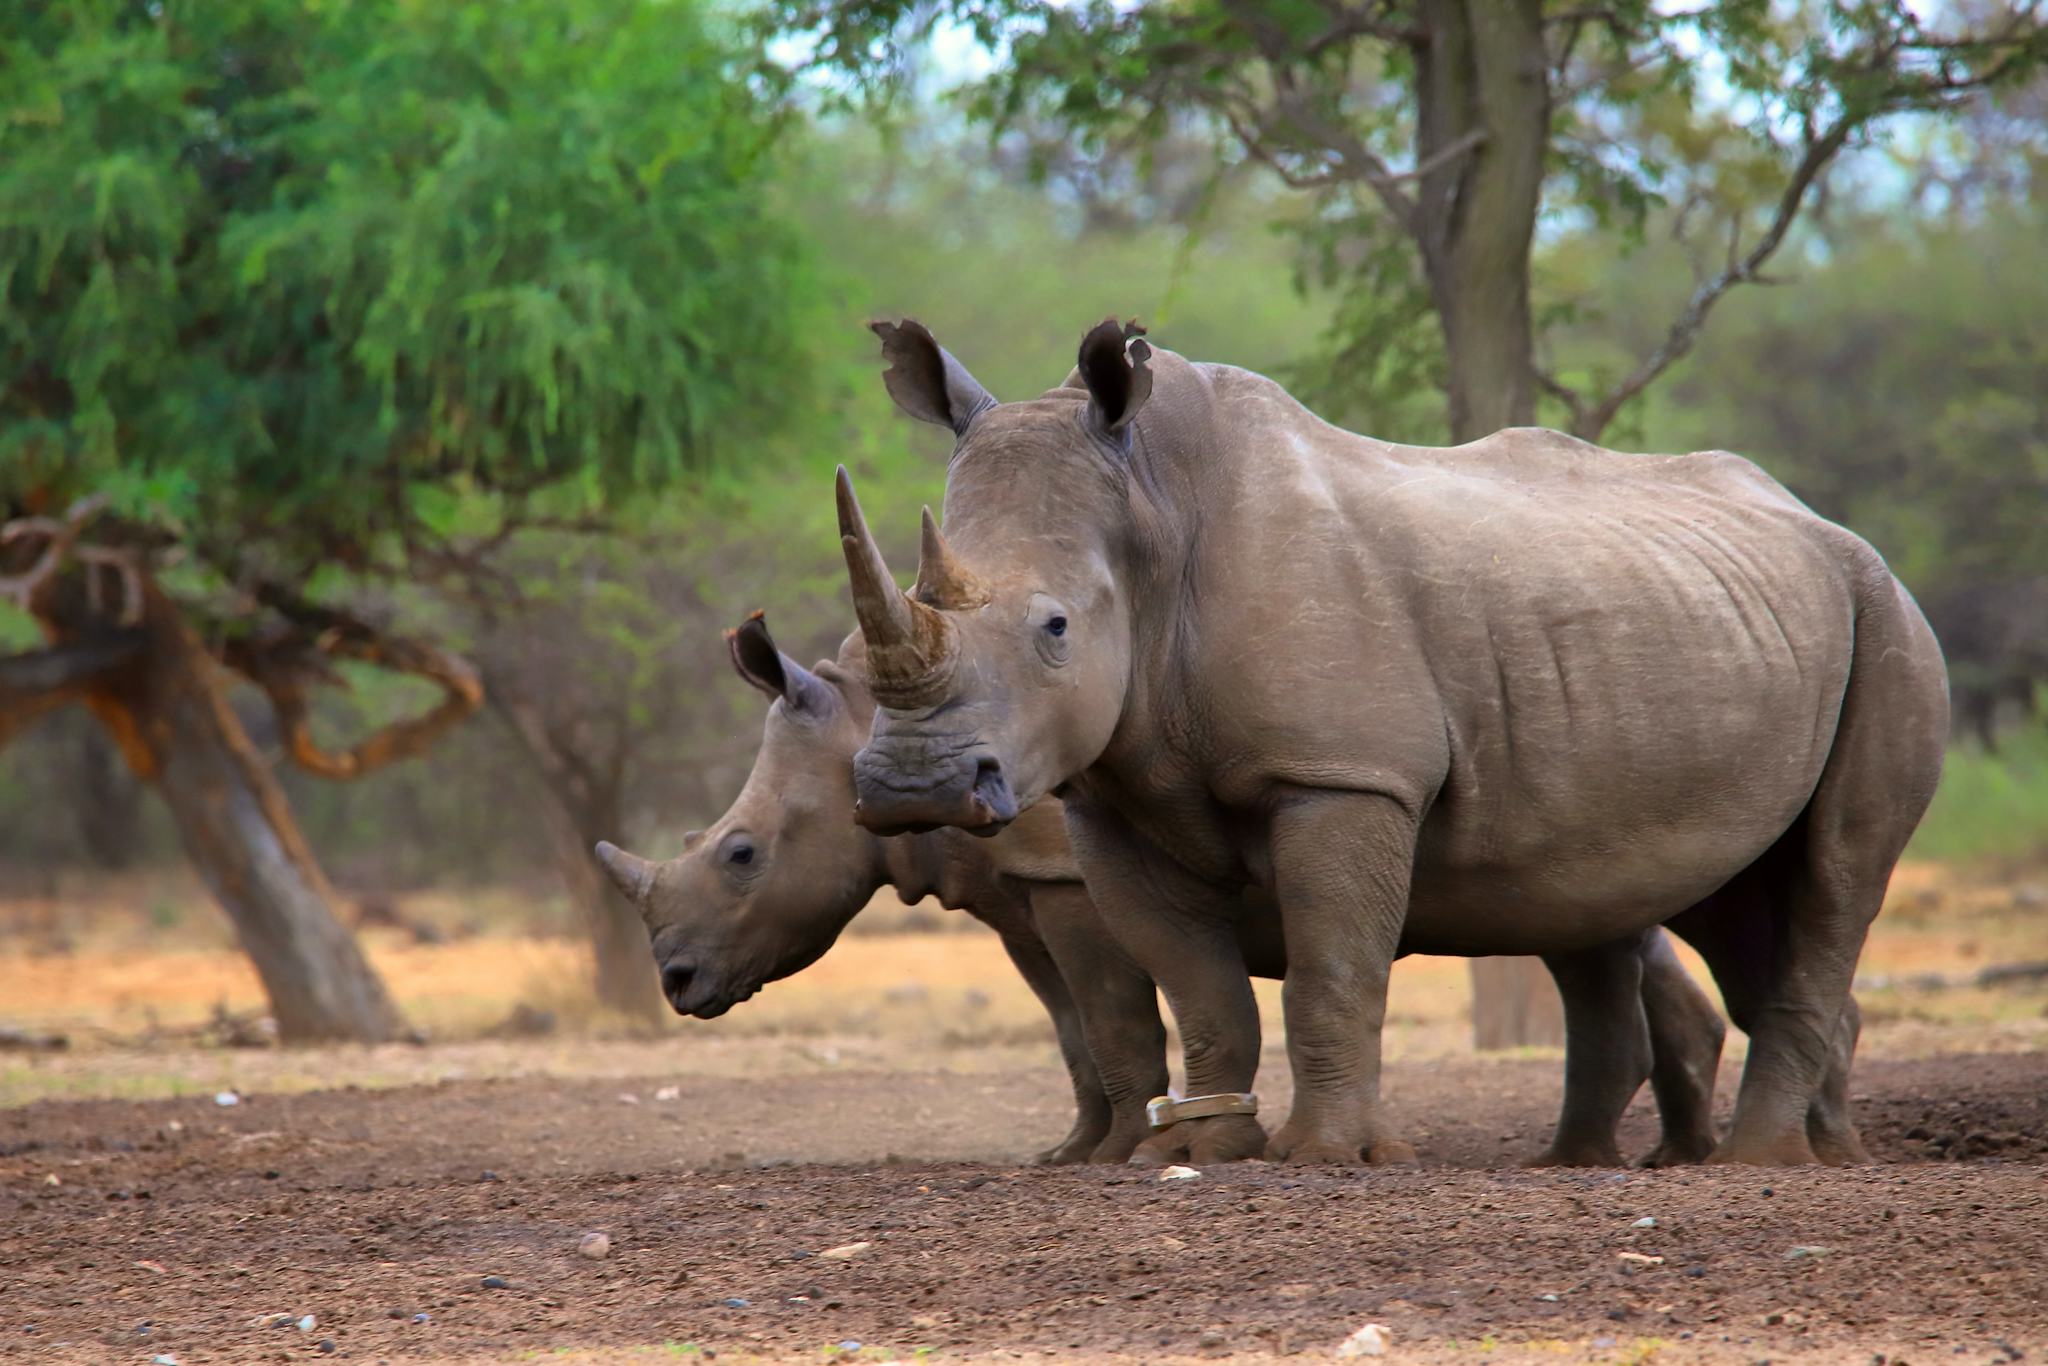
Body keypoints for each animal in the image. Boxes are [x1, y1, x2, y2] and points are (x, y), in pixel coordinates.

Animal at [598, 614, 1728, 1171]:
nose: (677, 982)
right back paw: (1667, 1156)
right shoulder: (1021, 888)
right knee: (1603, 926)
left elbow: (1108, 1017)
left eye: (739, 854)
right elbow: (1070, 1028)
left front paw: (1117, 1153)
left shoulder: (1060, 876)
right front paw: (1070, 1152)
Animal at [835, 317, 1949, 1163]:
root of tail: (1821, 521)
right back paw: (1731, 1157)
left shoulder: (1343, 775)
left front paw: (1329, 1158)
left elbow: (1333, 969)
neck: (1150, 505)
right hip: (1730, 629)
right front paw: (1200, 1153)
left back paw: (1756, 1163)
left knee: (1840, 871)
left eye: (1056, 628)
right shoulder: (1107, 800)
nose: (909, 786)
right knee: (1726, 888)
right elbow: (1198, 989)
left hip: (1886, 620)